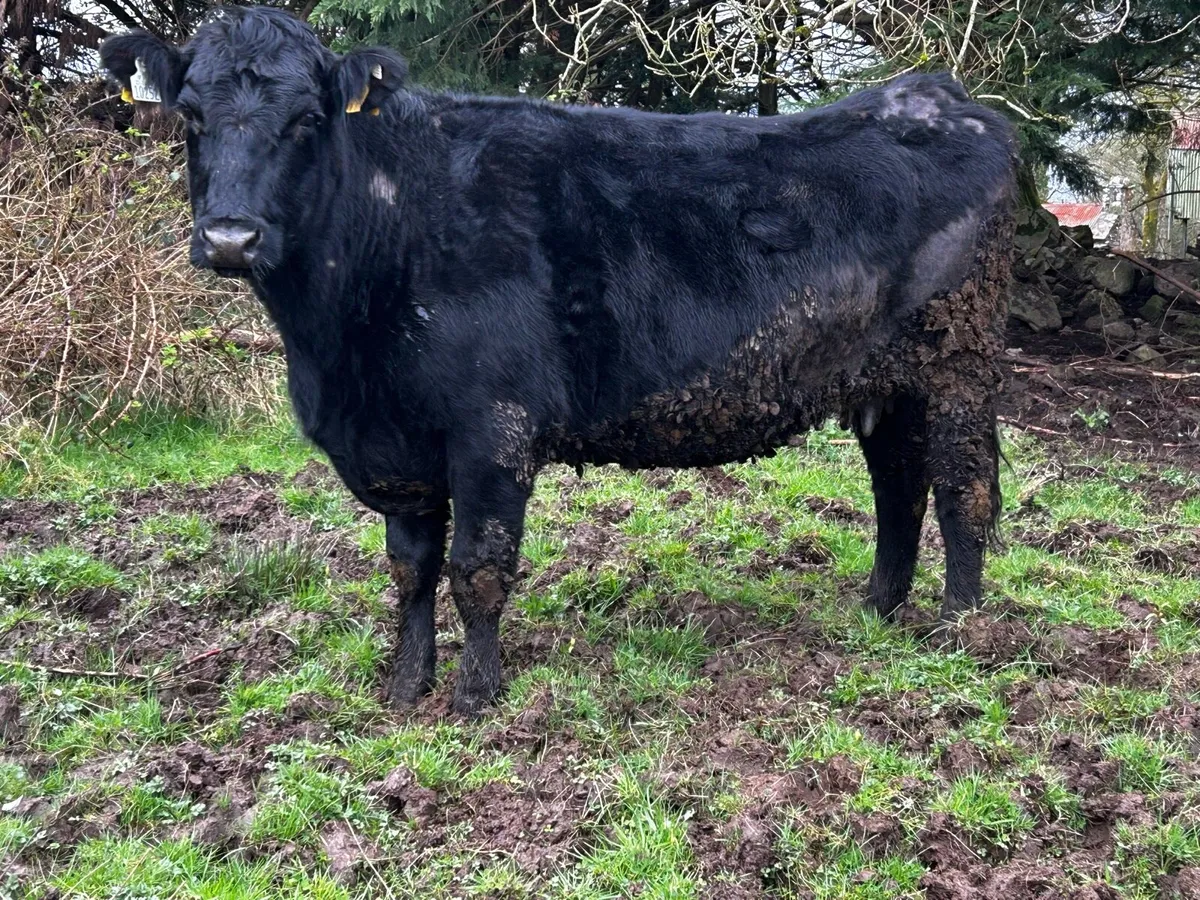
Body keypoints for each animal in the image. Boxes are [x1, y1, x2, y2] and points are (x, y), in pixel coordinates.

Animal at [101, 7, 1017, 717]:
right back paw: (877, 611)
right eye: (190, 116)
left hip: (960, 364)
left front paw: (476, 697)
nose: (230, 238)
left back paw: (961, 632)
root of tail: (936, 94)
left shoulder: (492, 425)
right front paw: (405, 687)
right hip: (881, 378)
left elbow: (477, 568)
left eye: (306, 120)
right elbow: (409, 569)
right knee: (897, 486)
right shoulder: (398, 444)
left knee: (963, 491)